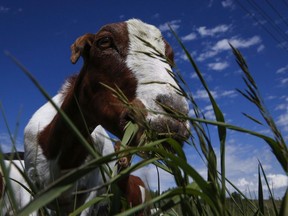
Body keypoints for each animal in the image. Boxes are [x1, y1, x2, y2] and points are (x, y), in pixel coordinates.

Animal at [2, 18, 190, 214]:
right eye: (104, 41)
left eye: (170, 57)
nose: (175, 112)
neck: (63, 158)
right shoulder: (33, 191)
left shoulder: (91, 194)